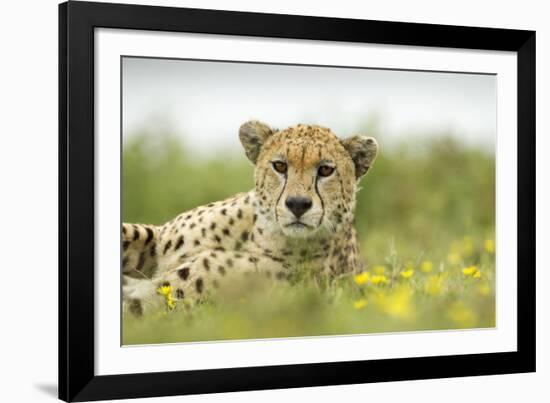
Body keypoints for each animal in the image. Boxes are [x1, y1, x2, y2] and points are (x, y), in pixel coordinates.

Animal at [122, 120, 378, 316]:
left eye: (326, 170)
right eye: (279, 165)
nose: (297, 204)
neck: (255, 235)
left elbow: (140, 305)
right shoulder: (157, 244)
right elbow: (132, 235)